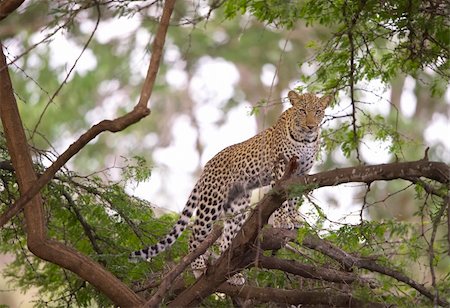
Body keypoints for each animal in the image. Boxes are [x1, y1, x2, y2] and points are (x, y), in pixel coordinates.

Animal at [130, 90, 330, 286]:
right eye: (302, 111)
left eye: (318, 111)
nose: (311, 126)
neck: (306, 139)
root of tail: (207, 166)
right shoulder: (281, 167)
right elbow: (282, 200)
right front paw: (282, 220)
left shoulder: (302, 172)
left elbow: (294, 199)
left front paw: (294, 217)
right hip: (211, 203)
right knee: (194, 234)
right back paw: (199, 267)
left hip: (238, 204)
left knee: (226, 237)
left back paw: (231, 271)